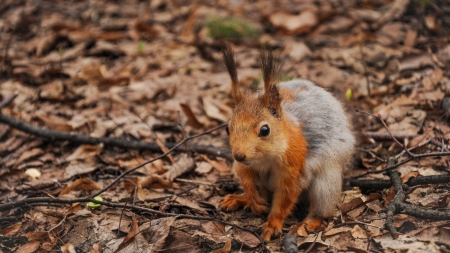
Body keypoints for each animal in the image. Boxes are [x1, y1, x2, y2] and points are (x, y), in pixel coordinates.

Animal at [219, 42, 356, 242]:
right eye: (227, 128)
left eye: (265, 130)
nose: (239, 155)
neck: (264, 158)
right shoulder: (244, 166)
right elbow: (246, 178)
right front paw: (251, 199)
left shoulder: (294, 169)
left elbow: (285, 199)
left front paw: (272, 225)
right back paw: (240, 199)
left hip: (326, 182)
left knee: (323, 207)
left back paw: (310, 222)